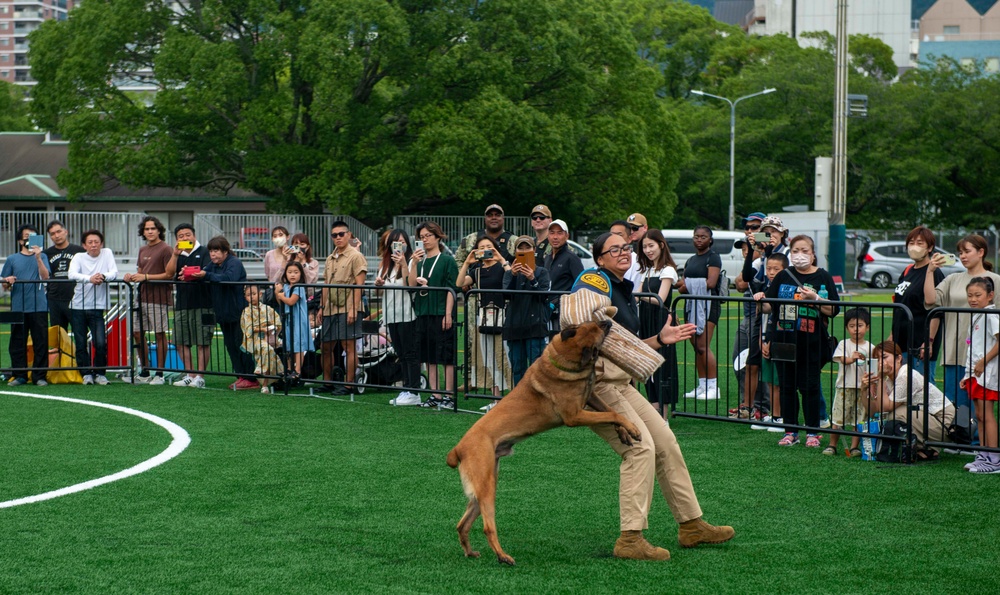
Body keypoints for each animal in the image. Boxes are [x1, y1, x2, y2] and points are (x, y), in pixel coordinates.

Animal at [446, 322, 640, 568]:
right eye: (595, 327)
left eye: (589, 324)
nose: (609, 322)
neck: (563, 359)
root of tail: (457, 449)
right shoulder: (575, 416)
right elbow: (612, 413)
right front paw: (632, 428)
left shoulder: (590, 398)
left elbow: (612, 411)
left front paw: (625, 432)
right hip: (486, 485)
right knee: (488, 527)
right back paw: (503, 556)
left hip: (484, 485)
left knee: (462, 524)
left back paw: (471, 552)